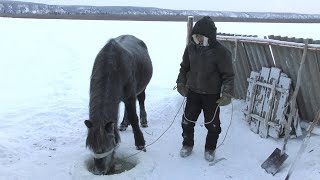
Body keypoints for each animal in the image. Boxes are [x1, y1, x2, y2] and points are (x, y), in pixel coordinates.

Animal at [82, 34, 152, 175]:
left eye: (106, 147)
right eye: (91, 147)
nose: (99, 171)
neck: (114, 68)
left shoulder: (130, 96)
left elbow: (134, 118)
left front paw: (140, 143)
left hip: (141, 89)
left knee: (141, 100)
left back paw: (144, 120)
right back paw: (123, 124)